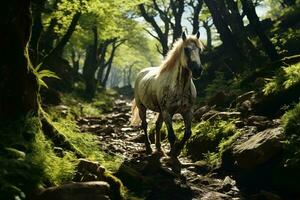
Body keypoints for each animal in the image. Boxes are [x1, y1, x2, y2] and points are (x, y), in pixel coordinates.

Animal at [131, 31, 204, 159]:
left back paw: (159, 148)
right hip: (142, 107)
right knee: (144, 125)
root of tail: (141, 73)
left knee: (157, 125)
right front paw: (173, 153)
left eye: (199, 50)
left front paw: (178, 150)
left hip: (160, 111)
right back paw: (149, 148)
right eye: (186, 49)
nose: (197, 71)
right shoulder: (168, 112)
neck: (180, 88)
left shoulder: (188, 111)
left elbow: (187, 133)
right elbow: (171, 135)